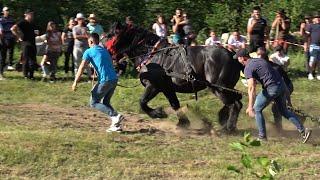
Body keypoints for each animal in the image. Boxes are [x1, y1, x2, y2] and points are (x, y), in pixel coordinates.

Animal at [107, 22, 242, 132]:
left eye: (110, 35)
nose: (106, 52)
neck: (152, 54)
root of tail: (233, 55)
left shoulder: (153, 86)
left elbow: (142, 102)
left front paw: (158, 113)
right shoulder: (167, 88)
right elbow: (175, 104)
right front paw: (183, 123)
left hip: (219, 88)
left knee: (234, 104)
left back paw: (228, 127)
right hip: (225, 87)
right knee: (237, 101)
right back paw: (225, 121)